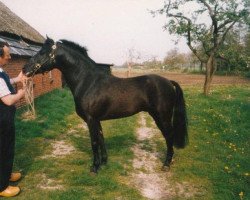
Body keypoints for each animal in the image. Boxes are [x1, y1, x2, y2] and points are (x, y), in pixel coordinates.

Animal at [23, 37, 188, 173]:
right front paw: (103, 162)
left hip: (162, 116)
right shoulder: (96, 120)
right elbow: (101, 138)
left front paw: (94, 167)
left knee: (169, 136)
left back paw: (166, 164)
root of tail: (169, 82)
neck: (88, 82)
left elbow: (94, 142)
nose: (25, 69)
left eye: (42, 52)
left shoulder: (90, 119)